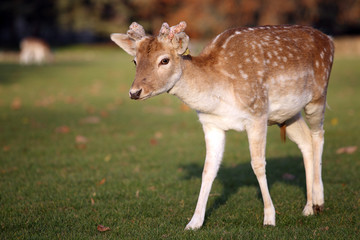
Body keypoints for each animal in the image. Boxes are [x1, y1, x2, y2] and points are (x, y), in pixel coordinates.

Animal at [110, 21, 334, 230]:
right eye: (134, 60)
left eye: (164, 60)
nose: (134, 92)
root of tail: (329, 39)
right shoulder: (211, 123)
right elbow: (208, 169)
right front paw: (194, 222)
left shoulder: (258, 112)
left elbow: (258, 165)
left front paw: (269, 218)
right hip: (287, 114)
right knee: (305, 141)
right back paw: (308, 207)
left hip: (318, 95)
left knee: (318, 134)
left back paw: (319, 202)